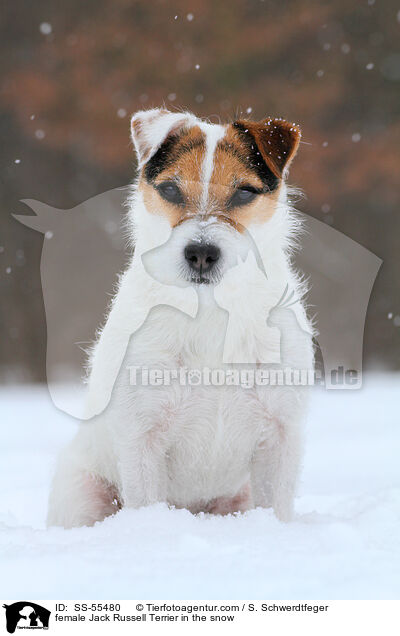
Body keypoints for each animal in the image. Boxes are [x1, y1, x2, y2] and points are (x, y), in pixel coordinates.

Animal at [47, 108, 314, 528]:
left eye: (244, 192)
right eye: (171, 190)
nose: (201, 253)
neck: (212, 311)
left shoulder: (280, 433)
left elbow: (276, 506)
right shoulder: (142, 437)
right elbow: (146, 502)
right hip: (83, 495)